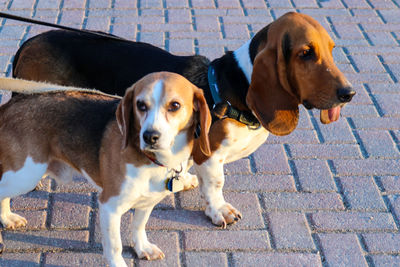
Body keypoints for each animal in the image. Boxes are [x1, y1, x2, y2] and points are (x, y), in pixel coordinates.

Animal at [0, 72, 212, 266]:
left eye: (174, 105)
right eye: (141, 105)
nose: (149, 136)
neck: (151, 160)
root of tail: (9, 106)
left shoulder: (148, 201)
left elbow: (139, 225)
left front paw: (142, 247)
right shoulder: (110, 207)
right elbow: (115, 246)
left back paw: (7, 218)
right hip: (25, 175)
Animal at [10, 11, 354, 227]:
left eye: (332, 49)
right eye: (305, 53)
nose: (349, 93)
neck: (237, 85)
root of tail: (28, 42)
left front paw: (183, 176)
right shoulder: (211, 155)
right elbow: (216, 184)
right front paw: (219, 212)